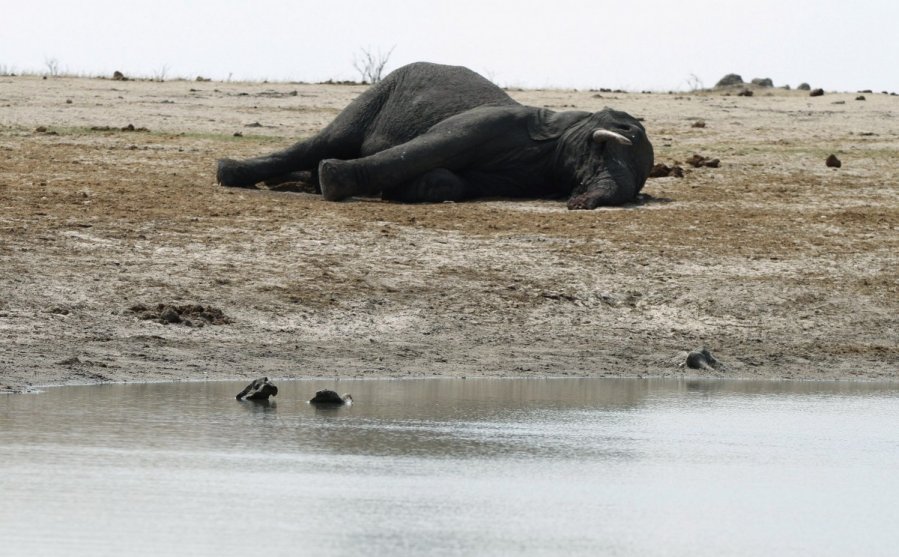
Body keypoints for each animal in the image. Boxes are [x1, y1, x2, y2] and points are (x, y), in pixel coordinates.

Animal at [218, 60, 652, 208]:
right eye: (614, 136)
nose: (576, 203)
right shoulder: (491, 120)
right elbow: (432, 147)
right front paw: (334, 180)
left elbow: (447, 180)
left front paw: (396, 192)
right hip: (378, 92)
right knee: (323, 142)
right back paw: (231, 172)